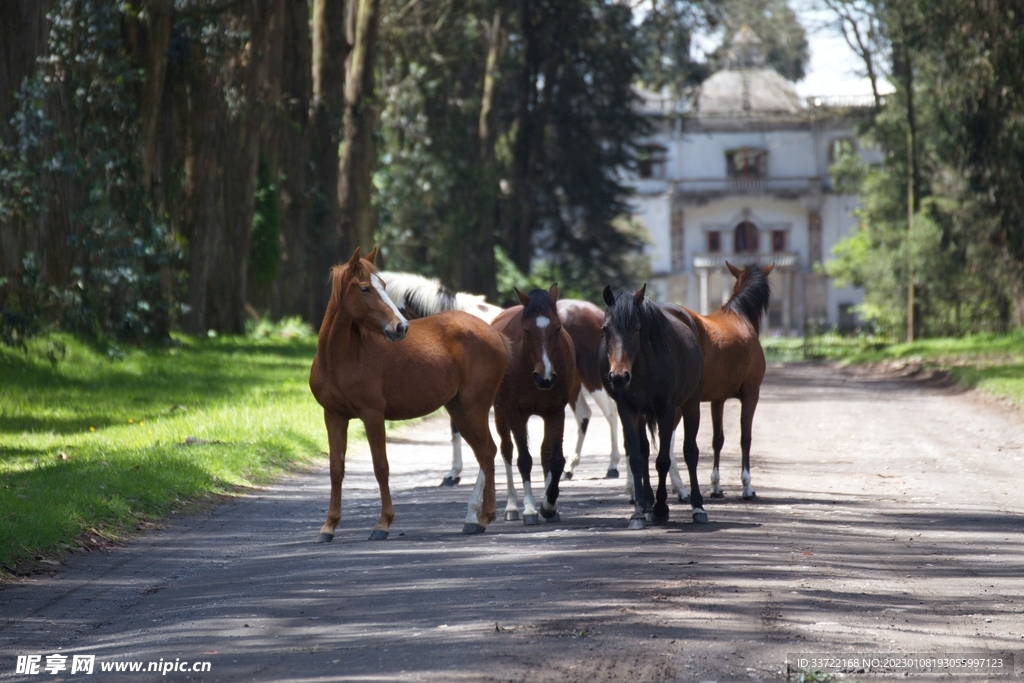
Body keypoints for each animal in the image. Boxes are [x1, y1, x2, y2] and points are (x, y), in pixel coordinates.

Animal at [492, 285, 579, 525]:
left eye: (558, 328)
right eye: (527, 330)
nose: (545, 377)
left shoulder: (556, 411)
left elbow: (555, 459)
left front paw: (549, 505)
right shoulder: (515, 413)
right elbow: (524, 460)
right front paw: (530, 509)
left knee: (544, 453)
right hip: (500, 412)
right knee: (507, 450)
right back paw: (512, 506)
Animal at [600, 284, 707, 528]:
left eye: (637, 329)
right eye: (605, 329)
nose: (619, 377)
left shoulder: (666, 411)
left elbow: (663, 460)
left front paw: (661, 508)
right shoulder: (628, 411)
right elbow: (637, 459)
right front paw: (640, 512)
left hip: (691, 404)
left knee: (690, 452)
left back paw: (697, 507)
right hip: (642, 414)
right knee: (645, 449)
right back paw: (648, 505)